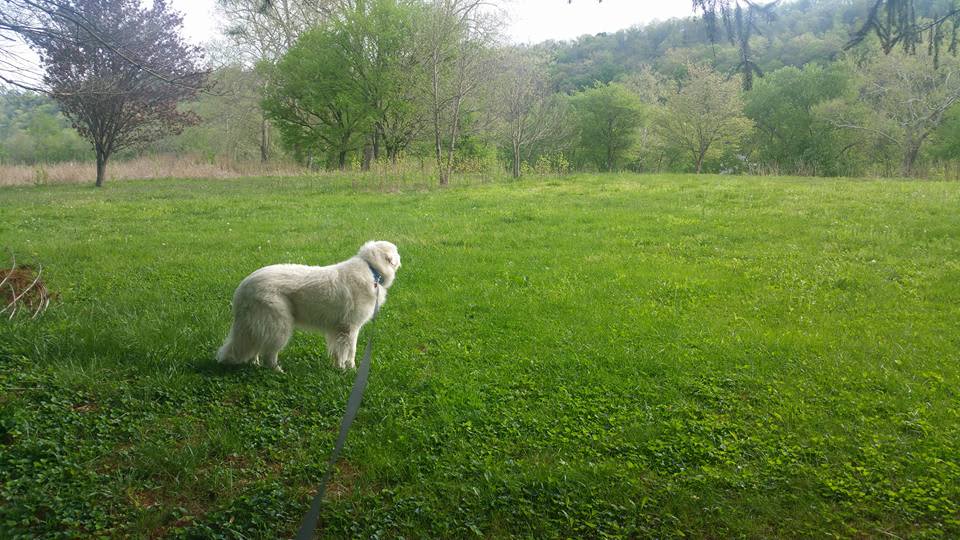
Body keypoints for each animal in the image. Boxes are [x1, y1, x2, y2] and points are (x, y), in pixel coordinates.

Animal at [216, 240, 400, 372]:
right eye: (397, 252)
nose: (401, 257)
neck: (372, 270)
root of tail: (242, 288)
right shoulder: (350, 328)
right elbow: (350, 351)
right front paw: (349, 370)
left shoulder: (338, 329)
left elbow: (338, 351)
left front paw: (338, 367)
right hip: (279, 326)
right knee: (269, 354)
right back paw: (278, 371)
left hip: (258, 326)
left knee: (257, 347)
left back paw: (255, 364)